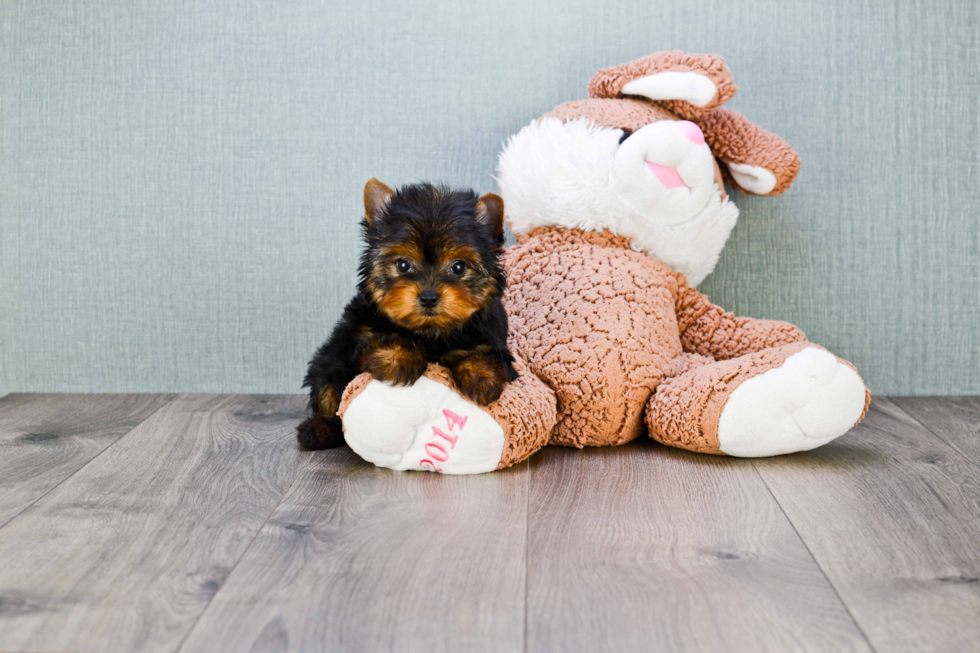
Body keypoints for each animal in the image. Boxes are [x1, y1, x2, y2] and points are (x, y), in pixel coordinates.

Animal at [294, 181, 516, 450]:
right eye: (403, 265)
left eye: (459, 267)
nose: (429, 297)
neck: (430, 332)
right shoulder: (359, 329)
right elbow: (379, 336)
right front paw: (398, 358)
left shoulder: (493, 337)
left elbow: (485, 350)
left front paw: (481, 376)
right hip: (329, 360)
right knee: (326, 389)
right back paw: (318, 429)